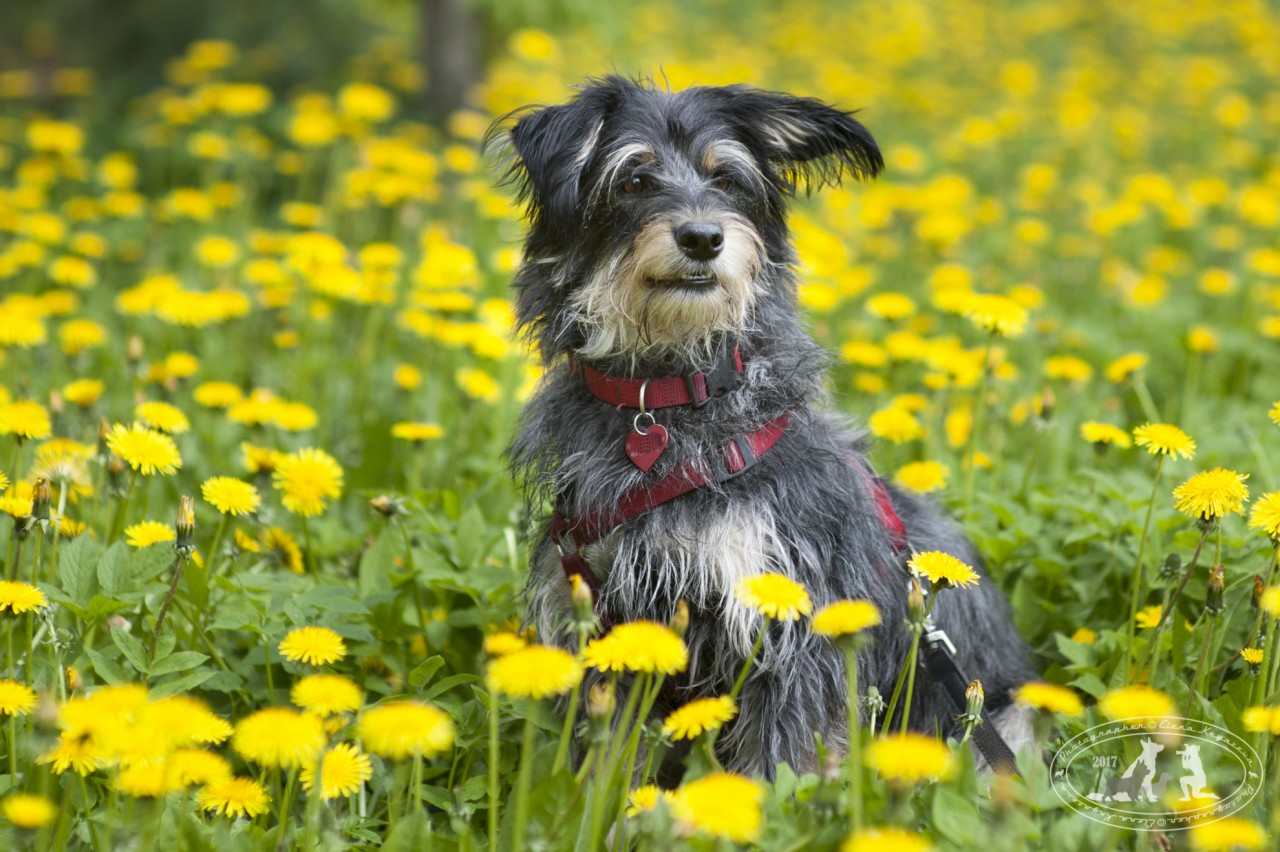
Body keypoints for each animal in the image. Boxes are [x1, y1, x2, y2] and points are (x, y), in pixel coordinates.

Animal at [494, 74, 1034, 777]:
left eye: (727, 179)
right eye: (633, 179)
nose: (702, 237)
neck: (667, 397)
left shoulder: (791, 628)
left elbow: (782, 767)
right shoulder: (603, 620)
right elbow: (606, 768)